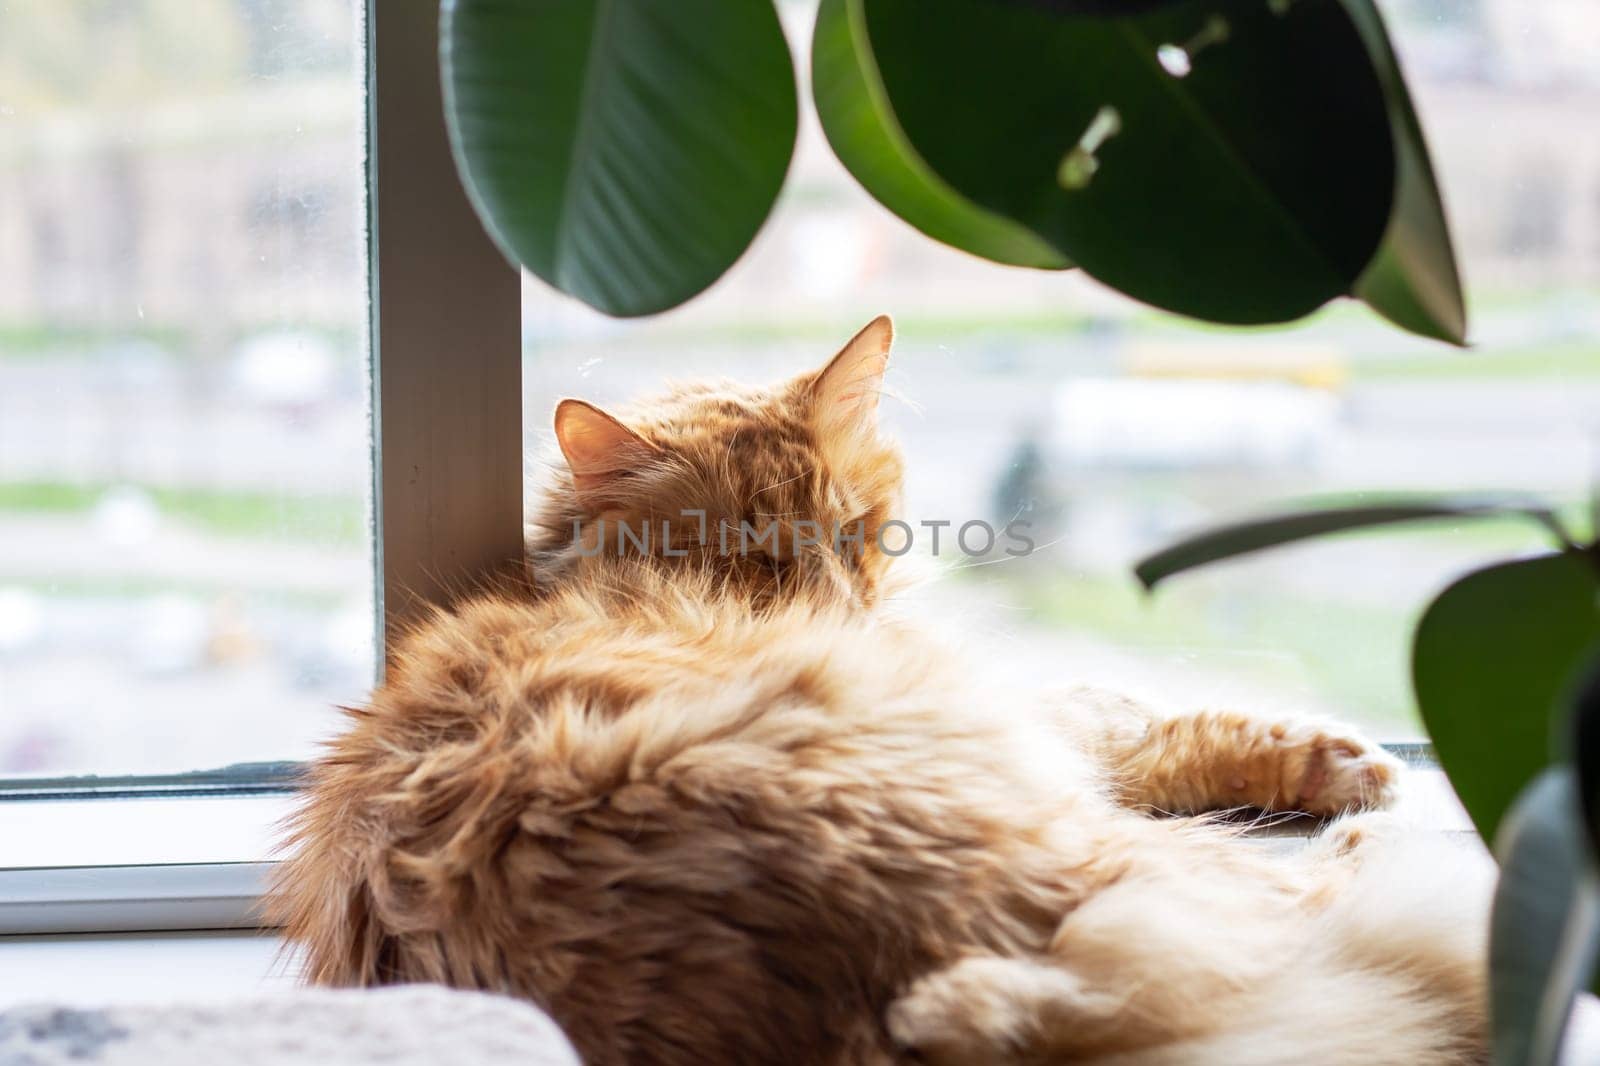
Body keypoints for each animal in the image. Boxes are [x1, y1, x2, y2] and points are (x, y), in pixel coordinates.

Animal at [272, 312, 1484, 1056]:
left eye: (854, 531)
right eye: (754, 559)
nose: (835, 609)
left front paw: (1326, 756)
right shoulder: (1017, 711)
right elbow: (1130, 716)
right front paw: (1348, 762)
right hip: (1066, 836)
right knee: (1287, 903)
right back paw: (1389, 846)